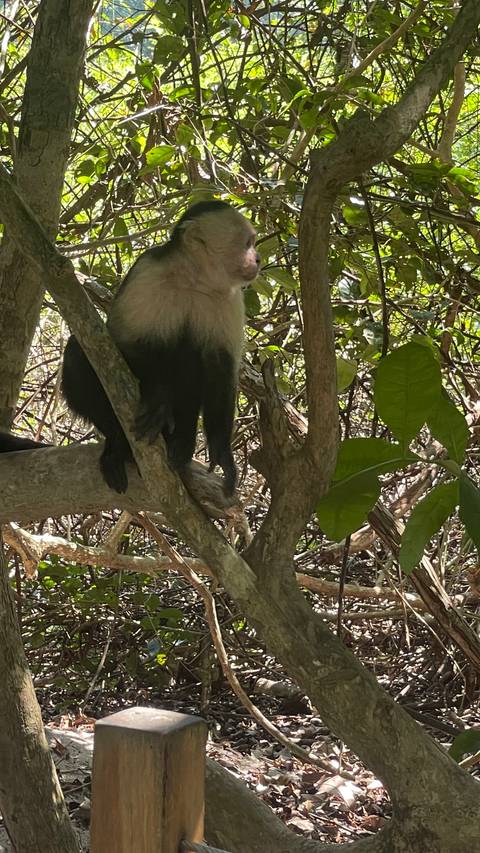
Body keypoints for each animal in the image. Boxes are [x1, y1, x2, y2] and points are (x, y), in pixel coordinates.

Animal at [0, 200, 260, 496]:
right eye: (248, 243)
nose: (258, 259)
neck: (194, 280)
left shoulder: (229, 298)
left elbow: (221, 368)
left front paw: (221, 453)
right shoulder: (148, 274)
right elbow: (119, 345)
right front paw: (158, 398)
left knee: (191, 359)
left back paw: (181, 445)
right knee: (79, 353)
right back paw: (118, 445)